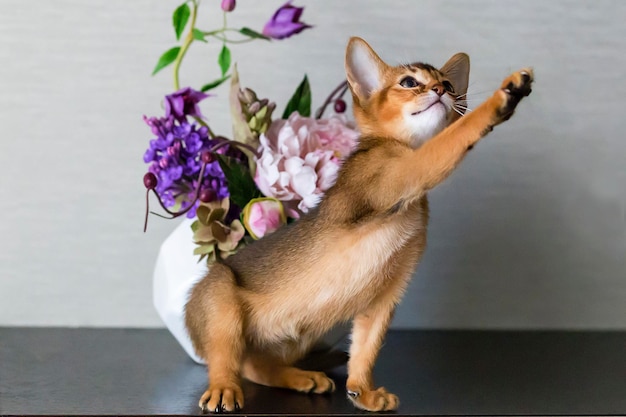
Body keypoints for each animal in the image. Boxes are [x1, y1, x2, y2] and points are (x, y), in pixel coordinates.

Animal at [183, 36, 528, 412]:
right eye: (409, 82)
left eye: (450, 85)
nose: (440, 90)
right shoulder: (400, 173)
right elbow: (450, 141)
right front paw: (502, 97)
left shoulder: (385, 294)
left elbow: (366, 347)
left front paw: (362, 392)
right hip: (221, 298)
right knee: (227, 360)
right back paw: (223, 389)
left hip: (301, 334)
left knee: (254, 364)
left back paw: (301, 377)